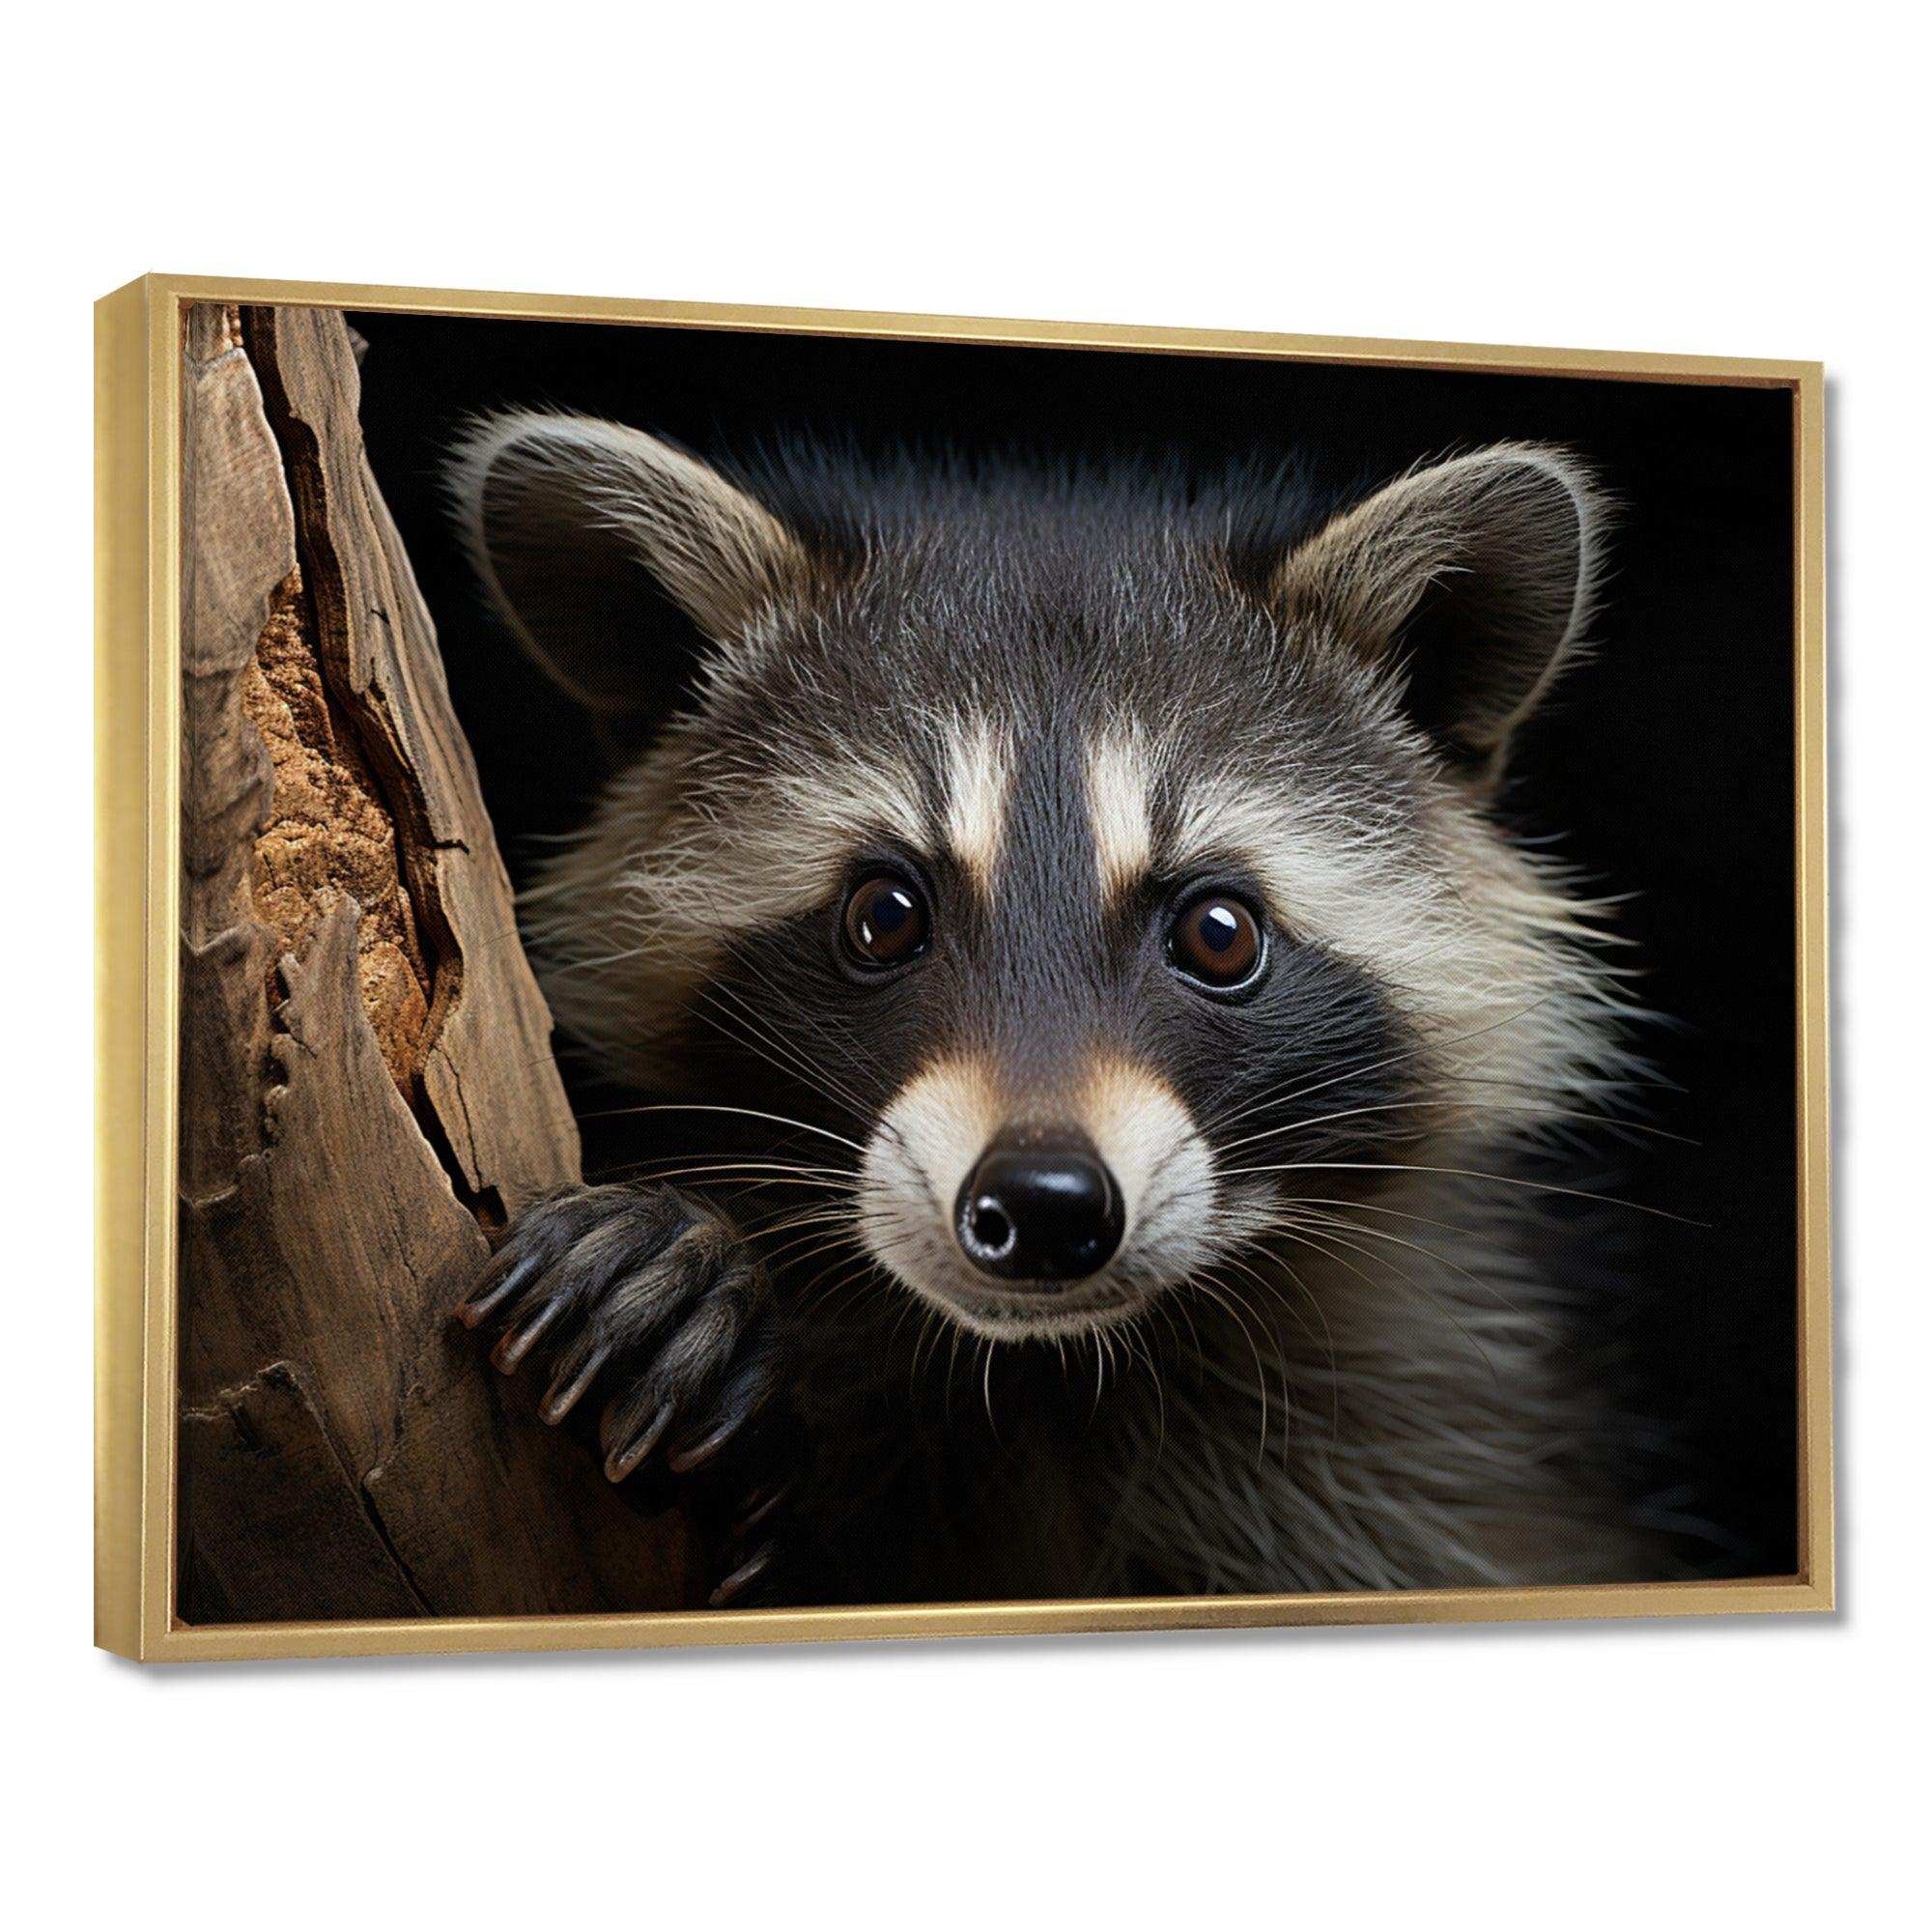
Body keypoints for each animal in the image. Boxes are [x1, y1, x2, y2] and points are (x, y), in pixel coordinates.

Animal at [449, 412, 1657, 1607]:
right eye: (883, 915)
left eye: (1217, 933)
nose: (1040, 1202)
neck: (1044, 1370)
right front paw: (688, 1269)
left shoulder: (1439, 1432)